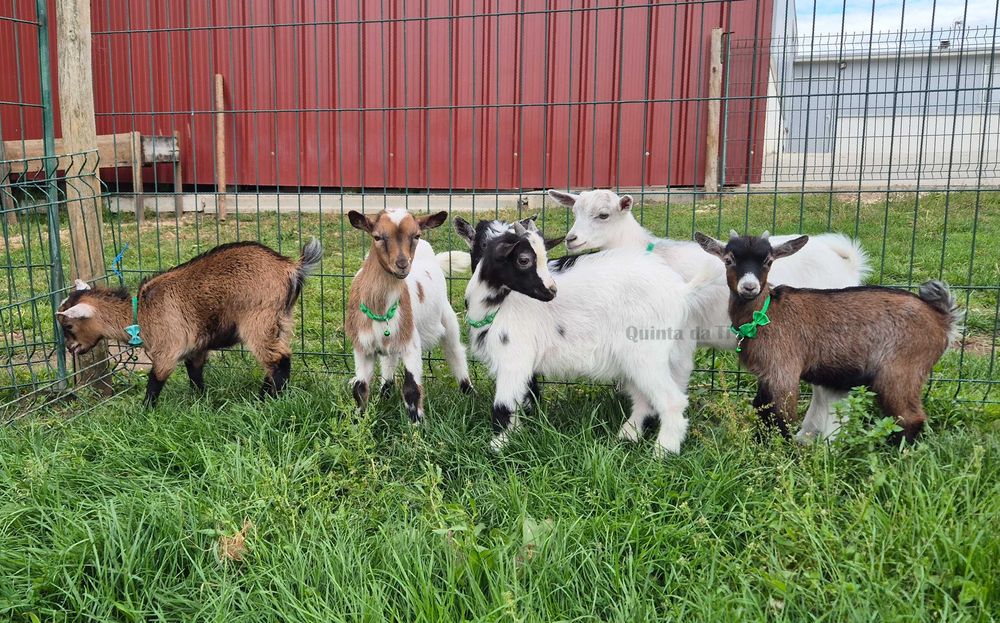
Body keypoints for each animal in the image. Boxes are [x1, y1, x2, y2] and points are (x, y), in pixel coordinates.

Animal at [56, 239, 323, 406]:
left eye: (68, 326)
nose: (71, 348)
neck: (140, 313)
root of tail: (290, 267)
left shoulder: (167, 348)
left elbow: (155, 381)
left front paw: (145, 412)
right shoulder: (196, 347)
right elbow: (195, 374)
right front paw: (200, 402)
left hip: (258, 320)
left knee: (278, 360)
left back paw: (266, 401)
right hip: (281, 320)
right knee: (276, 360)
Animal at [346, 208, 471, 422]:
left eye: (416, 235)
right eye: (377, 236)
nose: (402, 264)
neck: (379, 307)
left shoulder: (411, 343)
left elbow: (412, 389)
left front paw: (417, 427)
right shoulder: (362, 346)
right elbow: (359, 388)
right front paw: (358, 422)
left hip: (447, 320)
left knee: (455, 353)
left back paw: (469, 392)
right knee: (389, 360)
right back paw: (385, 393)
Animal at [458, 218, 713, 456]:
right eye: (524, 259)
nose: (552, 291)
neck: (498, 305)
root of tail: (681, 292)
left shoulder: (513, 358)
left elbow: (503, 405)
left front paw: (497, 447)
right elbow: (525, 398)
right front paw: (518, 434)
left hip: (646, 353)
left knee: (671, 400)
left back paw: (663, 451)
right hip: (663, 356)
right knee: (646, 398)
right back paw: (628, 436)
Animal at [549, 187, 871, 440]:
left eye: (604, 215)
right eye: (574, 210)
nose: (571, 239)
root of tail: (846, 262)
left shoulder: (679, 338)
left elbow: (664, 384)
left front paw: (637, 429)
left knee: (831, 397)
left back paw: (825, 442)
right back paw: (809, 437)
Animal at [695, 230, 961, 443]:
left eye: (768, 261)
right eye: (729, 260)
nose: (749, 287)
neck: (767, 312)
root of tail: (942, 318)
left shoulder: (784, 370)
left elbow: (782, 416)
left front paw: (784, 451)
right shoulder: (766, 373)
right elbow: (761, 407)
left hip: (900, 373)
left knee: (910, 418)